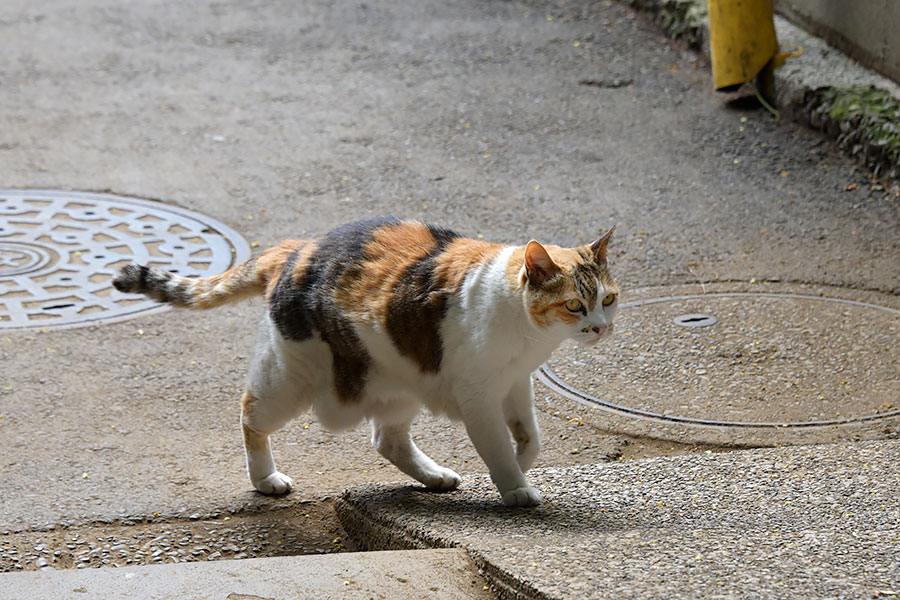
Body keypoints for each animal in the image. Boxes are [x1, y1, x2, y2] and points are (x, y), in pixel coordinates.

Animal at [112, 217, 616, 506]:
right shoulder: (479, 396)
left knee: (387, 441)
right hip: (291, 380)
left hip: (399, 382)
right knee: (249, 414)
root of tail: (297, 247)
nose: (600, 328)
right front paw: (514, 487)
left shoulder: (515, 383)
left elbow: (530, 438)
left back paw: (433, 477)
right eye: (575, 305)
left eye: (608, 300)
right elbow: (496, 446)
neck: (528, 336)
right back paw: (265, 479)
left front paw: (520, 462)